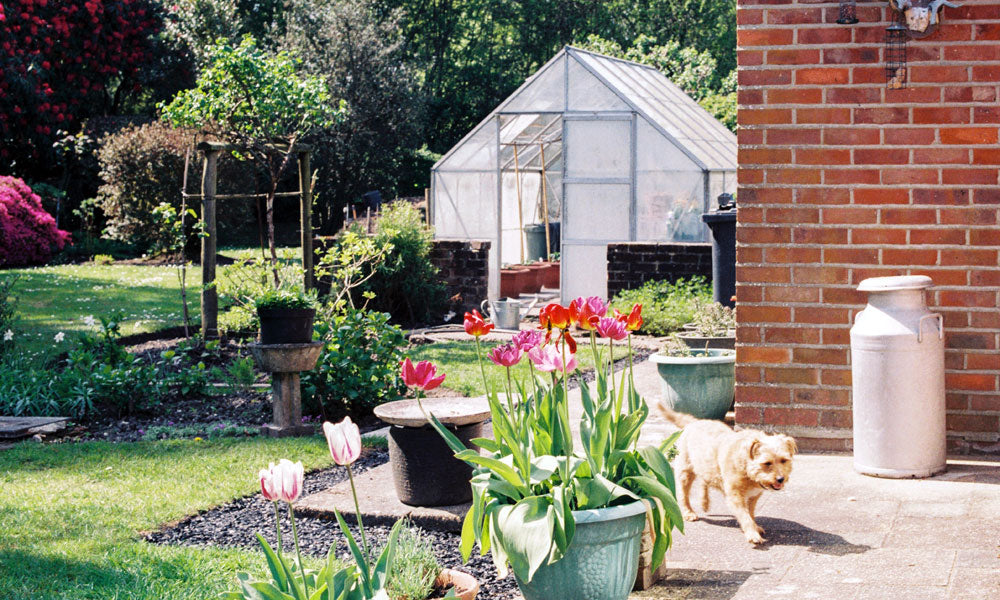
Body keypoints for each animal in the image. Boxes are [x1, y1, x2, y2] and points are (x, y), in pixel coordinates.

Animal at [656, 406, 796, 548]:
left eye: (784, 460)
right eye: (767, 463)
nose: (781, 479)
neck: (746, 467)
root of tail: (694, 422)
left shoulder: (753, 496)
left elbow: (750, 513)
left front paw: (754, 528)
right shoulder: (735, 496)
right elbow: (745, 516)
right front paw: (752, 534)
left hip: (705, 467)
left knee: (704, 482)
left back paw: (705, 502)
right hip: (686, 471)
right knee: (684, 494)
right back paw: (688, 512)